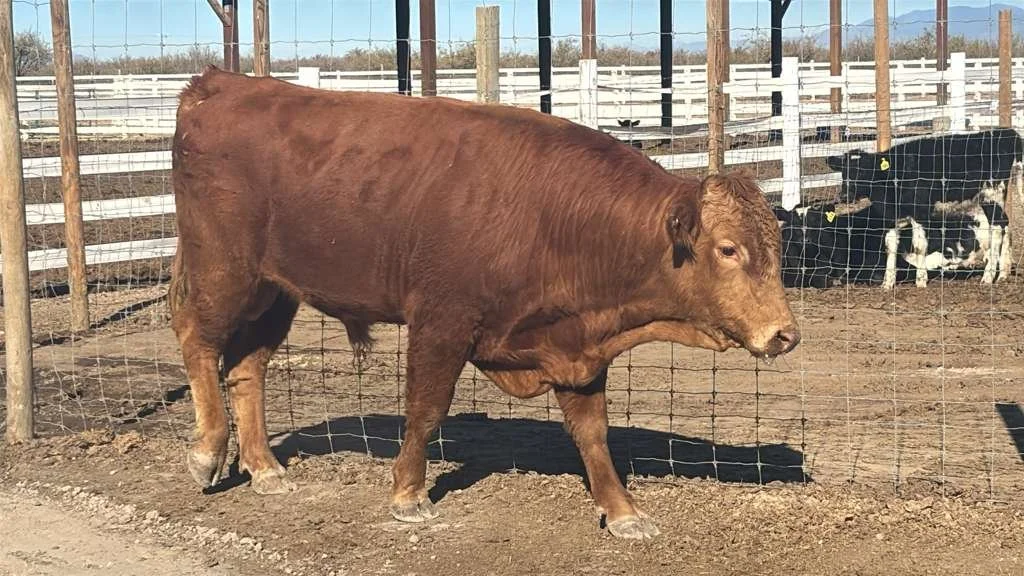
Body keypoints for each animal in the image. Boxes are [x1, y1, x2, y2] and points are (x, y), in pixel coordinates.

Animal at [168, 66, 801, 540]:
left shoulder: (576, 346)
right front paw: (408, 495)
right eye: (728, 249)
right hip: (225, 271)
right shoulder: (441, 324)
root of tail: (221, 84)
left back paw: (265, 468)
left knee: (247, 368)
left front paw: (622, 512)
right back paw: (206, 452)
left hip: (276, 292)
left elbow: (593, 434)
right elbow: (426, 411)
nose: (784, 334)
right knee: (198, 341)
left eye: (777, 244)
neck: (556, 215)